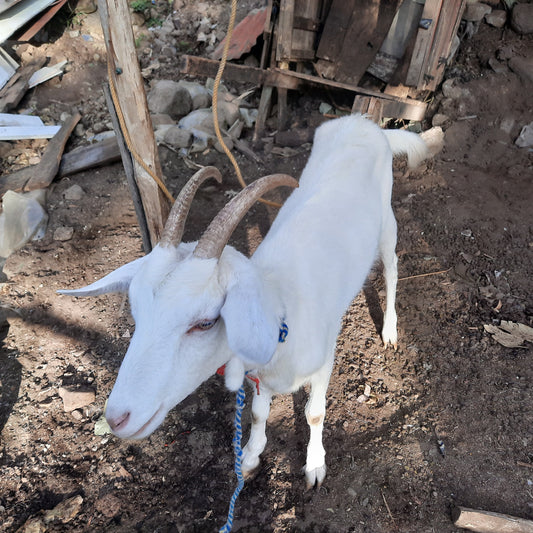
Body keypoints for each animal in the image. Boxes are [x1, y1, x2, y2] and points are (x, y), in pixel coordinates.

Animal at [59, 114, 428, 488]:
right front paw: (249, 457)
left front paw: (314, 465)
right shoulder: (258, 378)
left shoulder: (324, 360)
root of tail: (363, 122)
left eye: (206, 322)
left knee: (392, 266)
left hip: (387, 223)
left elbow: (314, 413)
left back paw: (391, 330)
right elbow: (257, 412)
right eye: (136, 314)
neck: (283, 313)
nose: (117, 418)